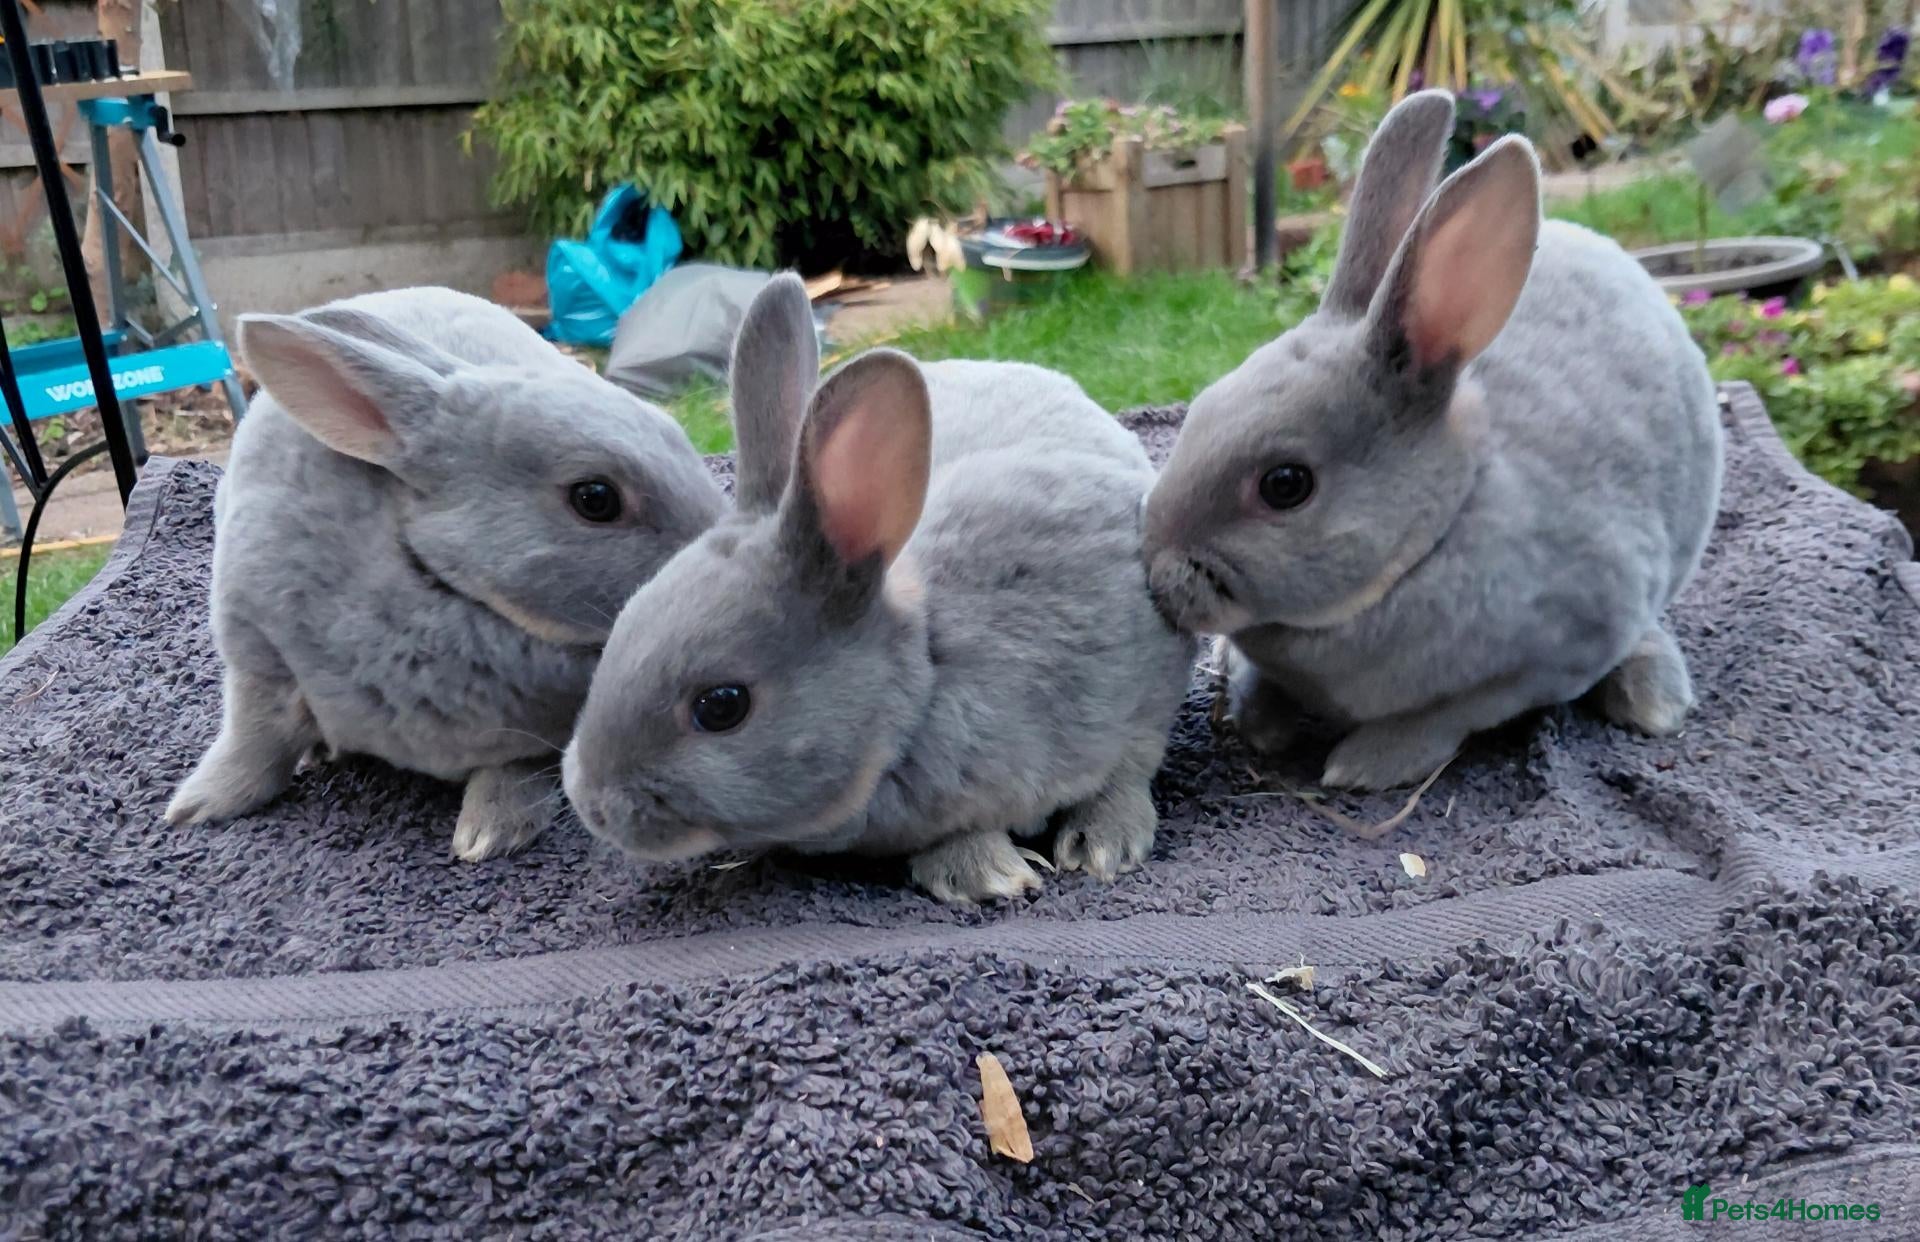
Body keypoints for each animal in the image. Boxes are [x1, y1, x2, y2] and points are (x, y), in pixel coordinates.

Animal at [166, 286, 729, 860]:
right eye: (595, 498)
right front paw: (198, 807)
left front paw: (489, 832)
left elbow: (515, 769)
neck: (438, 581)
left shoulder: (533, 739)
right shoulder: (258, 658)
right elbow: (254, 740)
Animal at [560, 274, 1197, 904]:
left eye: (721, 706)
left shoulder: (1137, 705)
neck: (926, 681)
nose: (593, 805)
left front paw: (1083, 853)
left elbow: (1123, 774)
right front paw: (978, 869)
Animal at [1140, 90, 1723, 792]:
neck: (1436, 535)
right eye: (1199, 409)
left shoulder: (1548, 660)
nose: (1156, 573)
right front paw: (1259, 723)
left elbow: (1449, 718)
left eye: (1285, 485)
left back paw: (1653, 700)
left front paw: (1363, 764)